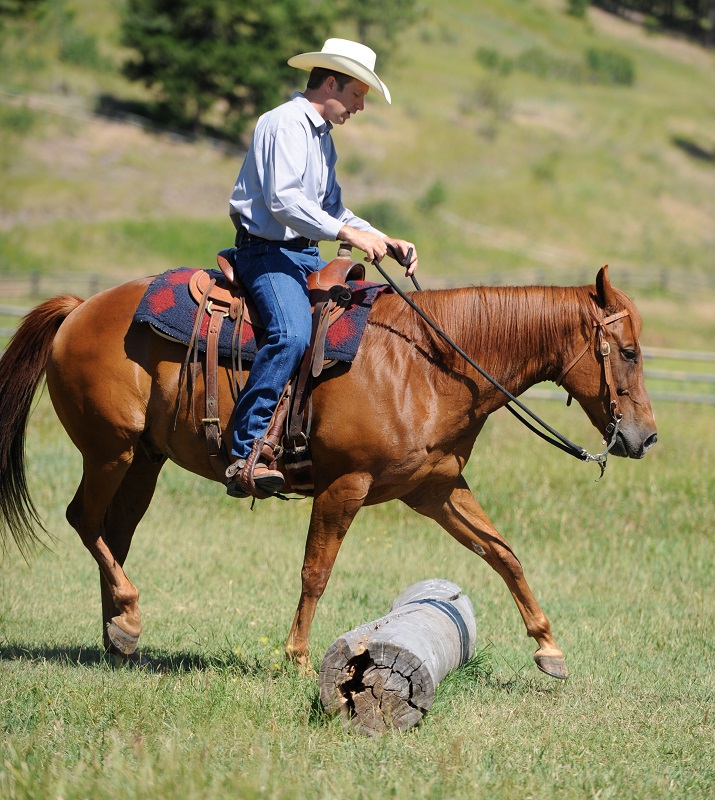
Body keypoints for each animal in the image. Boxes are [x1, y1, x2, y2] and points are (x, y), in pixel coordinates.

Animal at [0, 264, 657, 679]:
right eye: (628, 352)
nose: (645, 437)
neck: (424, 365)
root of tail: (79, 309)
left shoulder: (436, 488)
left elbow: (504, 555)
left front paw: (549, 649)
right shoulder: (346, 484)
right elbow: (315, 571)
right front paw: (294, 656)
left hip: (144, 459)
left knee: (114, 534)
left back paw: (120, 635)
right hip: (109, 450)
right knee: (84, 520)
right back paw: (129, 617)